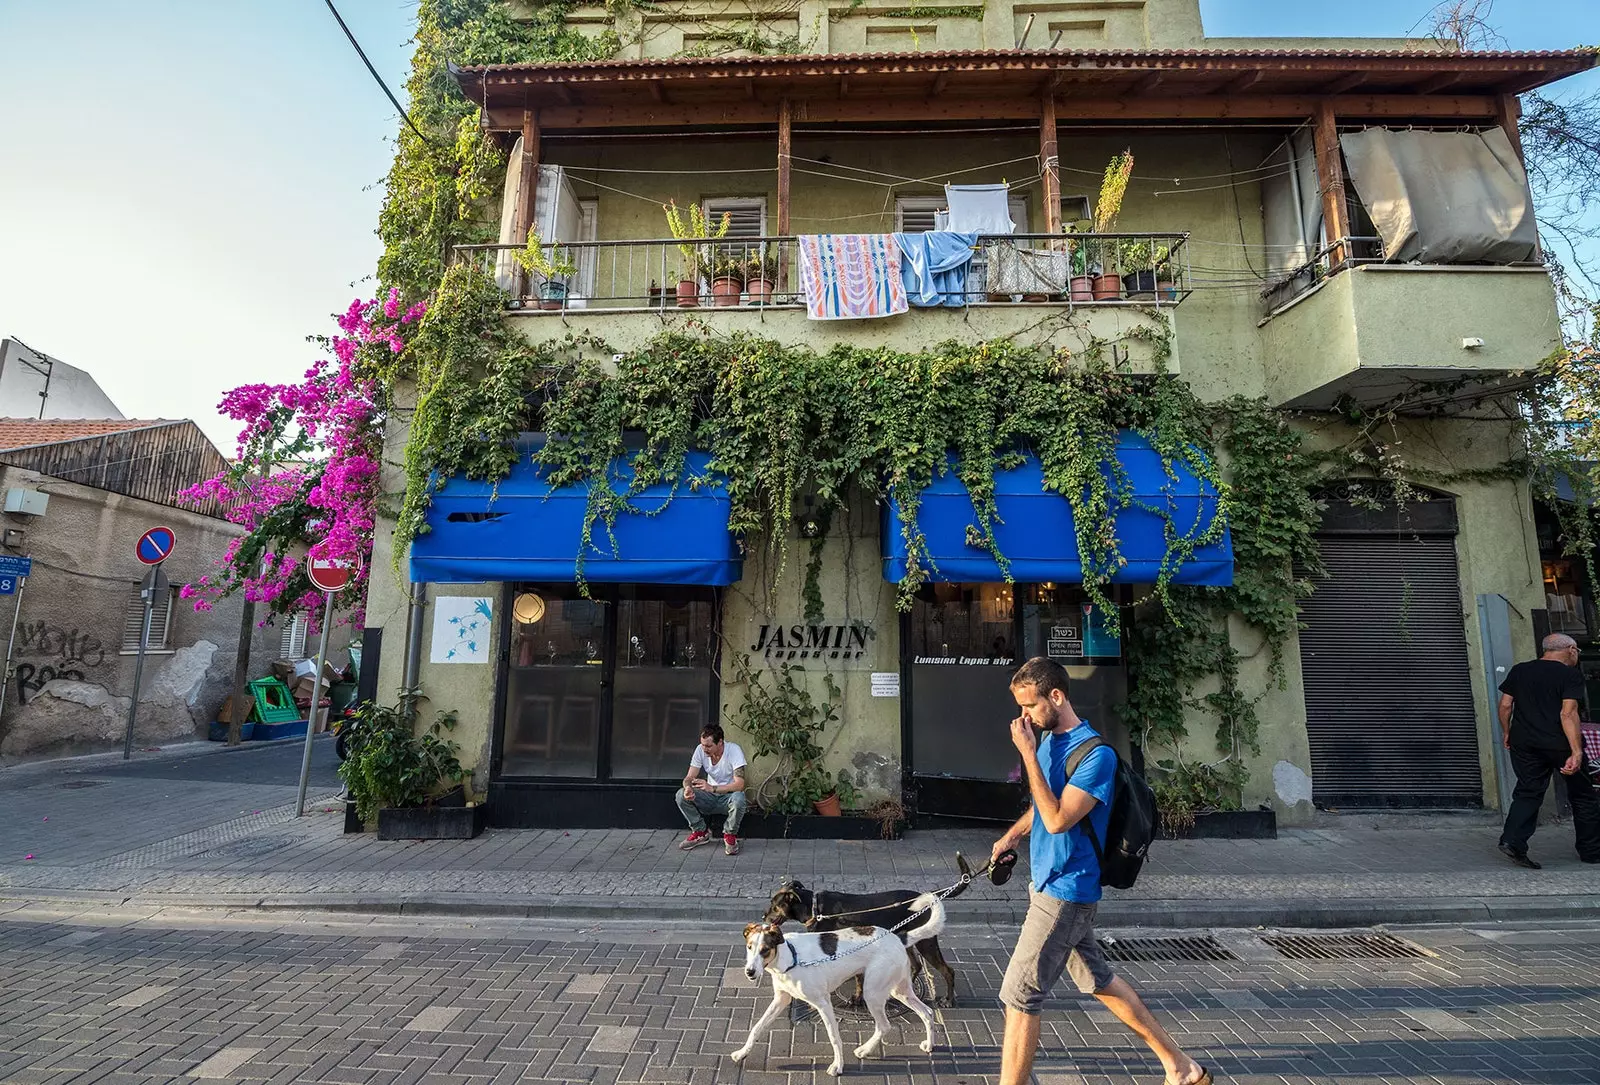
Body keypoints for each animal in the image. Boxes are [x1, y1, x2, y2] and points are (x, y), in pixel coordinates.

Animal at [732, 889, 940, 1081]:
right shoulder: (781, 999)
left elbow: (834, 1037)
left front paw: (838, 1065)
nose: (749, 972)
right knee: (927, 1012)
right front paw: (742, 1052)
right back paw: (929, 1045)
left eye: (765, 950)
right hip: (900, 990)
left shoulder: (823, 1003)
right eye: (749, 947)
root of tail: (898, 937)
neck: (790, 957)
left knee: (884, 1026)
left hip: (872, 993)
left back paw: (865, 1050)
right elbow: (757, 1027)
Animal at [761, 851, 972, 1004]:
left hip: (926, 943)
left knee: (947, 971)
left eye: (774, 905)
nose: (763, 916)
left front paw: (856, 998)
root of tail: (927, 898)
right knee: (916, 966)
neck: (815, 908)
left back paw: (948, 1000)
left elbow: (857, 979)